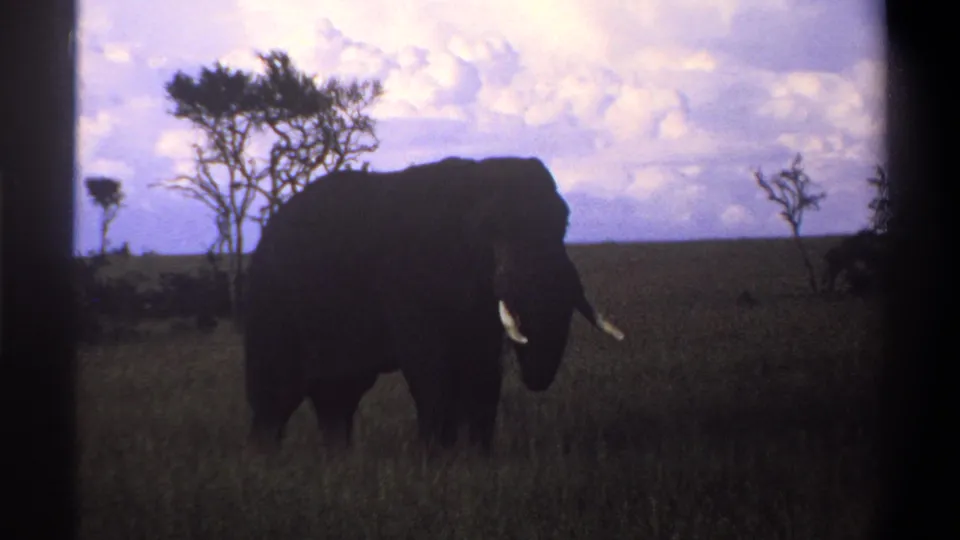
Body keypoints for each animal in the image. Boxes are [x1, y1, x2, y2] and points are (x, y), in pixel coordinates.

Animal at [243, 156, 625, 454]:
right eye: (492, 231)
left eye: (564, 222)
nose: (535, 379)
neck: (472, 185)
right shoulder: (409, 281)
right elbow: (431, 368)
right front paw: (435, 460)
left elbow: (484, 369)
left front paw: (478, 459)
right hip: (271, 301)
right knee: (276, 393)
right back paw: (267, 463)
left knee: (338, 395)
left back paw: (338, 460)